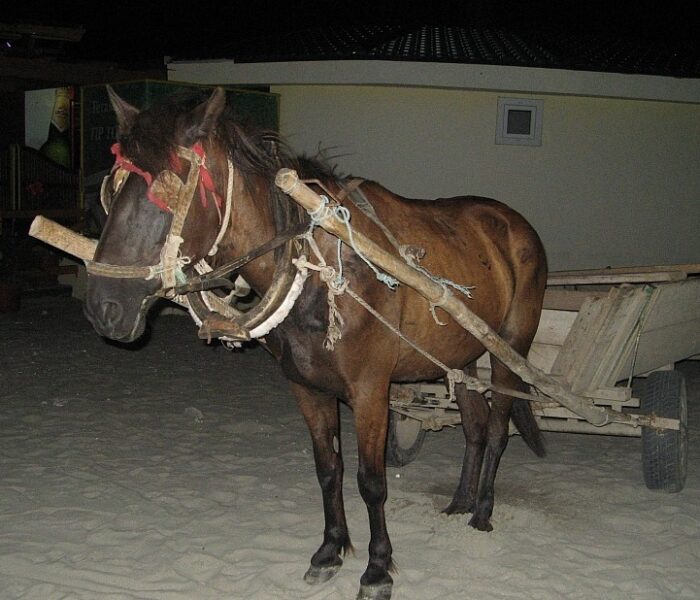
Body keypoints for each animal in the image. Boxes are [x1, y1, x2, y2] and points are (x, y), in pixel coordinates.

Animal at [86, 89, 548, 600]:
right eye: (112, 189)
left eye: (168, 190)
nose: (104, 306)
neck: (317, 266)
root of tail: (512, 222)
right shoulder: (307, 388)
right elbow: (329, 469)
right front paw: (330, 551)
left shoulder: (370, 391)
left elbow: (371, 481)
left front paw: (377, 569)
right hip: (460, 356)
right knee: (474, 426)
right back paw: (460, 502)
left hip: (509, 350)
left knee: (498, 429)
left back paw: (482, 511)